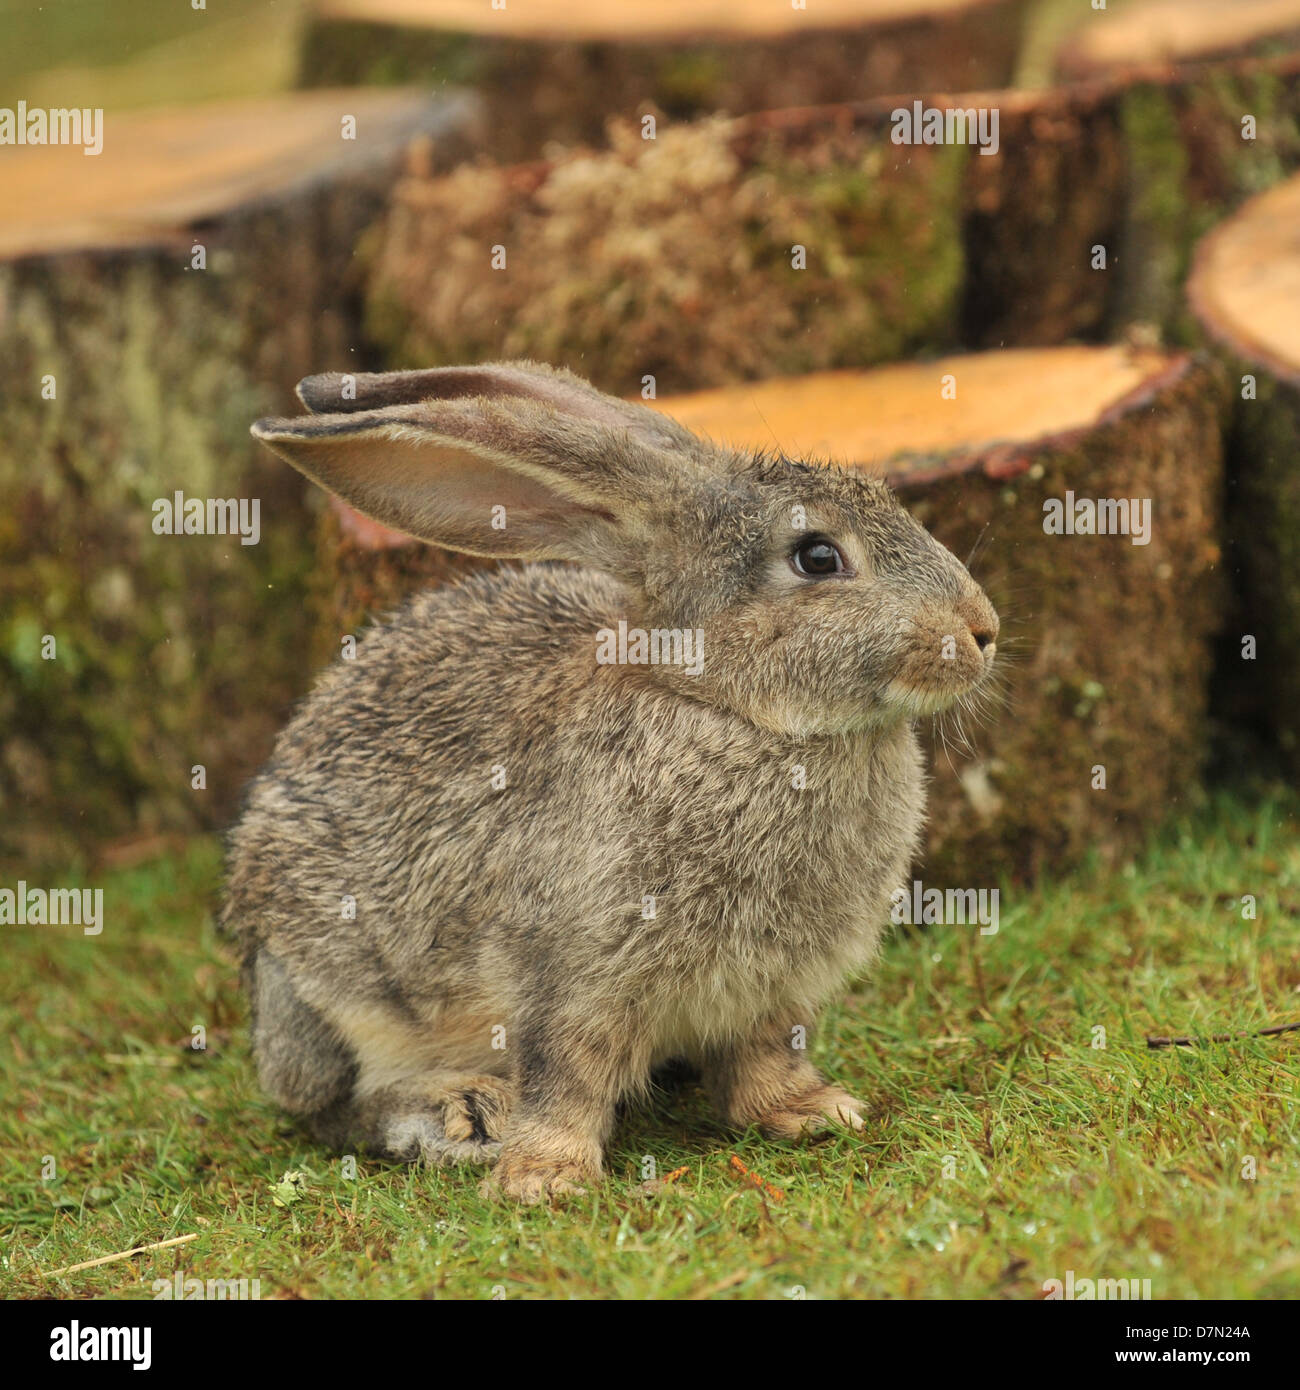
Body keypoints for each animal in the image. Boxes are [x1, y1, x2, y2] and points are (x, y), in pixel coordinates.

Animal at [221, 364, 995, 1200]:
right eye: (818, 558)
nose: (982, 629)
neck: (729, 709)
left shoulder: (773, 992)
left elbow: (765, 1057)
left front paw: (811, 1112)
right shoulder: (571, 974)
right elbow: (567, 1072)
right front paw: (544, 1178)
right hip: (323, 996)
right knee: (331, 1107)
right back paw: (463, 1111)